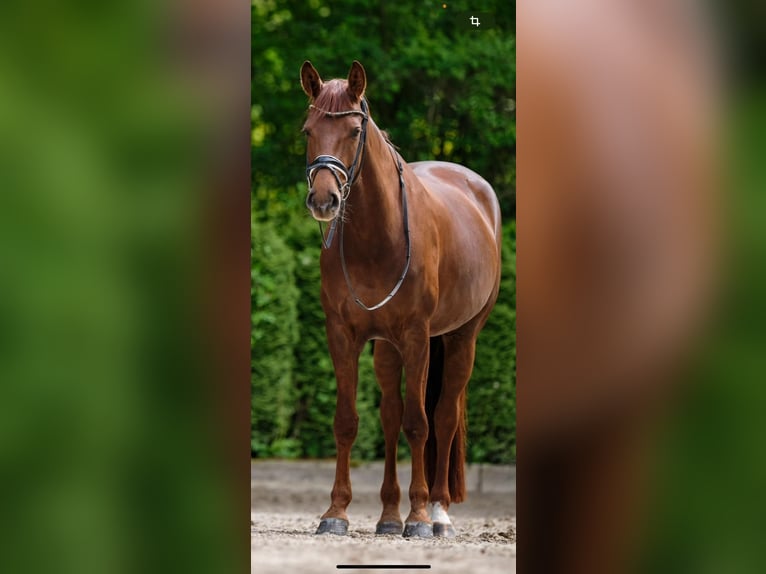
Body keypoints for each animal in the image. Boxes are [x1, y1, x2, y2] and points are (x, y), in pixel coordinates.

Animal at [300, 62, 504, 540]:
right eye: (308, 131)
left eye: (355, 131)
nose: (323, 200)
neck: (378, 235)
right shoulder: (343, 335)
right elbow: (348, 421)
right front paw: (336, 513)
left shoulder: (416, 337)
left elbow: (420, 423)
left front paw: (420, 518)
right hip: (388, 349)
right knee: (390, 415)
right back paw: (389, 515)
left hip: (461, 338)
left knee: (442, 416)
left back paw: (439, 512)